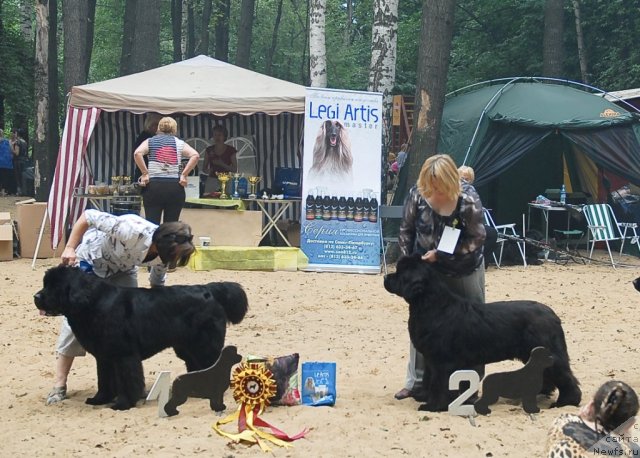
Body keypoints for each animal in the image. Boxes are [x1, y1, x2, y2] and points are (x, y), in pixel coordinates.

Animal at [32, 264, 249, 412]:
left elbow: (127, 381)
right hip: (187, 347)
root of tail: (208, 290)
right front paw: (99, 399)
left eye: (55, 286)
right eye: (45, 284)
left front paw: (122, 404)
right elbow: (104, 380)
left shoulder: (124, 356)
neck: (94, 304)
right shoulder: (104, 357)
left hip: (204, 345)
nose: (36, 297)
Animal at [382, 254, 584, 412]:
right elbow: (430, 380)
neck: (431, 305)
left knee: (565, 376)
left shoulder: (442, 360)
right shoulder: (432, 359)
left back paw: (566, 402)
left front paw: (433, 406)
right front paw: (427, 399)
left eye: (400, 272)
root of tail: (552, 315)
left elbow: (439, 383)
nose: (385, 277)